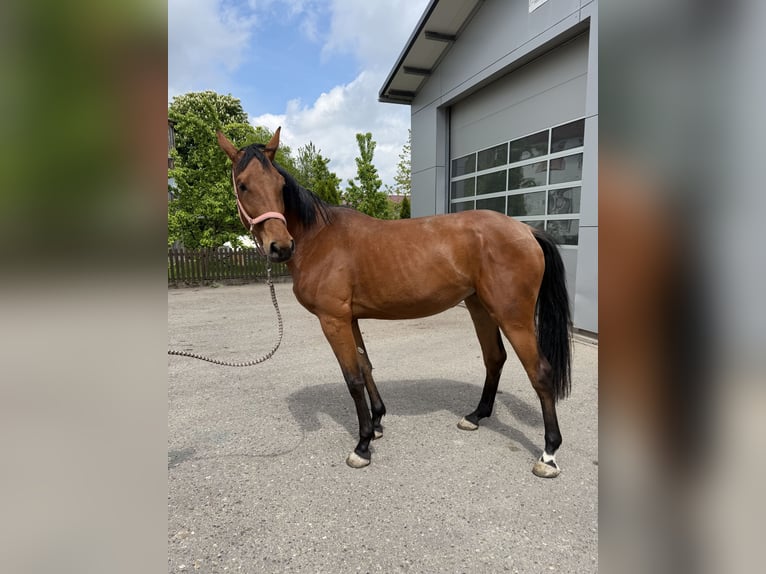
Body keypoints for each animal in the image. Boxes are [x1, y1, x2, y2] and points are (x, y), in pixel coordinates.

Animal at [216, 128, 572, 478]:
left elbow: (353, 378)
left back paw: (549, 453)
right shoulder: (350, 318)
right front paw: (376, 423)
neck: (319, 239)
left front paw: (362, 446)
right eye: (244, 184)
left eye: (279, 185)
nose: (280, 246)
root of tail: (526, 230)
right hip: (480, 307)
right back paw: (475, 416)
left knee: (540, 372)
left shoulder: (333, 320)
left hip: (513, 316)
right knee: (494, 358)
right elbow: (365, 366)